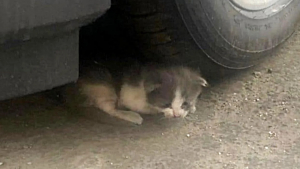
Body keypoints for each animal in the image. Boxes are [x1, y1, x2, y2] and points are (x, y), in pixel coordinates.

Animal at [63, 61, 209, 124]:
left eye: (185, 103)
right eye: (166, 104)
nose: (177, 115)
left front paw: (192, 107)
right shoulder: (128, 94)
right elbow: (146, 107)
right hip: (103, 86)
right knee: (108, 108)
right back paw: (131, 116)